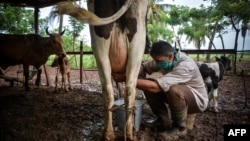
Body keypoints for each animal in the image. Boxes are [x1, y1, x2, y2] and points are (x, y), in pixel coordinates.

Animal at [51, 0, 147, 140]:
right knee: (127, 89)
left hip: (105, 44)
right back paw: (127, 133)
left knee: (112, 90)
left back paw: (112, 134)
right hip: (135, 42)